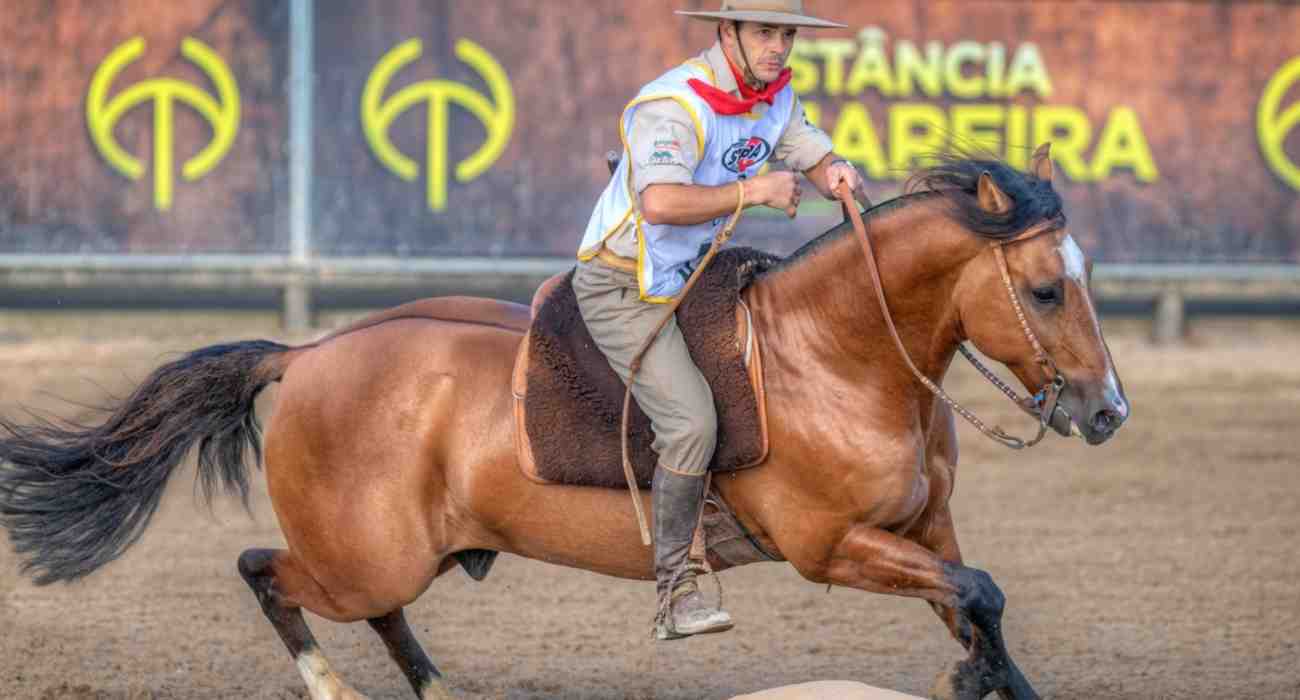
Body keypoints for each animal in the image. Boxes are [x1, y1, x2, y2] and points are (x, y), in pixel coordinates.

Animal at [0, 148, 1128, 697]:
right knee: (266, 573)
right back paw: (337, 690)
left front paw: (980, 671)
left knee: (377, 612)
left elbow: (979, 609)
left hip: (411, 551)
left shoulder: (923, 531)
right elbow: (979, 599)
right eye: (1042, 289)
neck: (834, 355)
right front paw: (963, 674)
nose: (1106, 409)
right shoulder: (832, 547)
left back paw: (441, 693)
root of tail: (306, 355)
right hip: (361, 555)